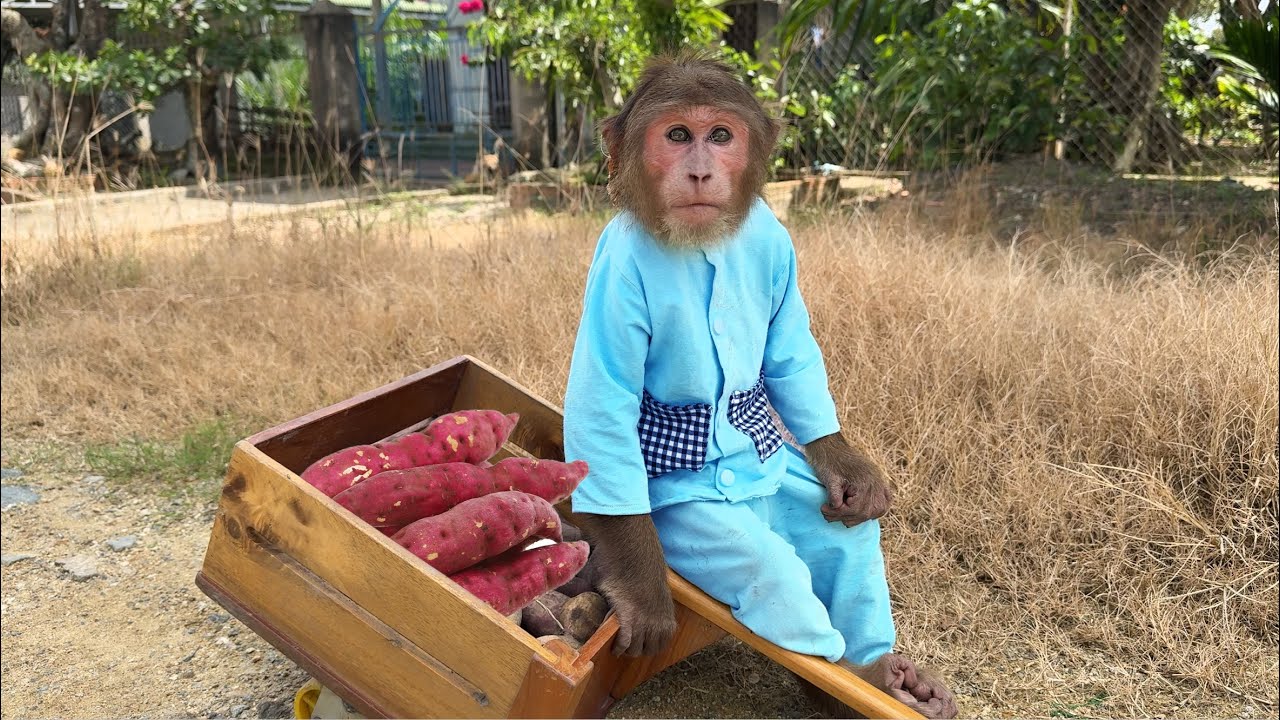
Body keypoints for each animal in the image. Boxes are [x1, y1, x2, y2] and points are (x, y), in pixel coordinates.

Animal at [561, 52, 958, 719]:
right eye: (677, 135)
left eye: (720, 136)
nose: (699, 170)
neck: (700, 243)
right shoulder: (614, 278)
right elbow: (605, 409)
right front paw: (641, 592)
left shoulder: (776, 238)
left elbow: (788, 347)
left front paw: (845, 460)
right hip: (703, 531)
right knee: (773, 578)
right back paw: (853, 674)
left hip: (795, 488)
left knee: (847, 542)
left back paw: (882, 675)